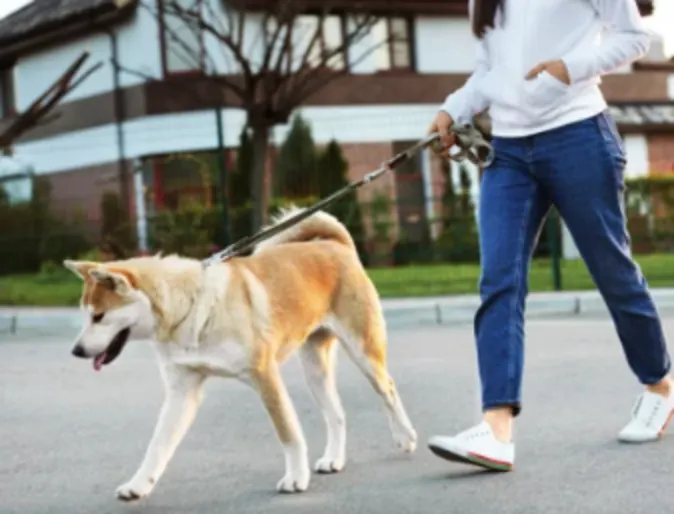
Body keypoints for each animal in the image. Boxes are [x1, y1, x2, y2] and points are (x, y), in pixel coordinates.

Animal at [65, 207, 418, 500]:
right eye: (86, 315)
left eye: (99, 316)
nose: (76, 350)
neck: (190, 308)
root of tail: (335, 245)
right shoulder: (182, 391)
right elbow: (158, 444)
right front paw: (139, 484)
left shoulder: (265, 377)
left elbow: (288, 434)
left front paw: (296, 478)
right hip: (314, 369)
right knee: (337, 414)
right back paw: (334, 458)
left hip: (363, 352)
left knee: (388, 389)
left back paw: (405, 437)